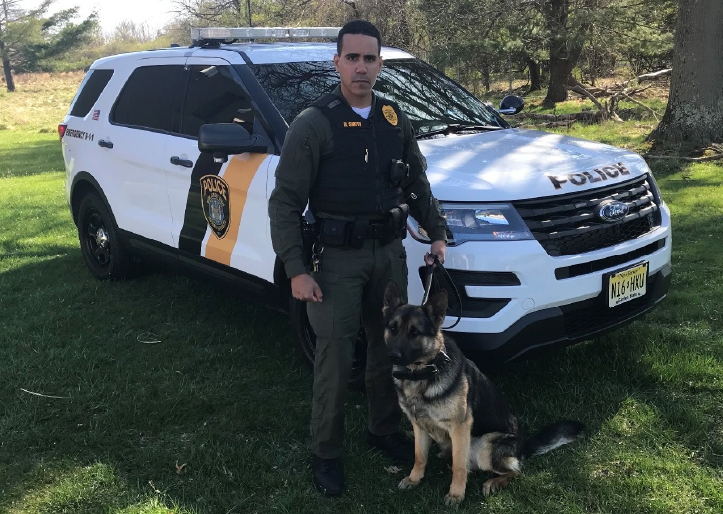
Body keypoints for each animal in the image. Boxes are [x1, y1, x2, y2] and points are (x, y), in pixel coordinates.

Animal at [382, 282, 584, 502]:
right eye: (393, 329)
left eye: (414, 333)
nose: (392, 356)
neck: (422, 375)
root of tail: (522, 447)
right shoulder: (418, 425)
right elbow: (419, 456)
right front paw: (414, 478)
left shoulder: (460, 427)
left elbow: (459, 465)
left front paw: (456, 494)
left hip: (484, 445)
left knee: (517, 471)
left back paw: (494, 482)